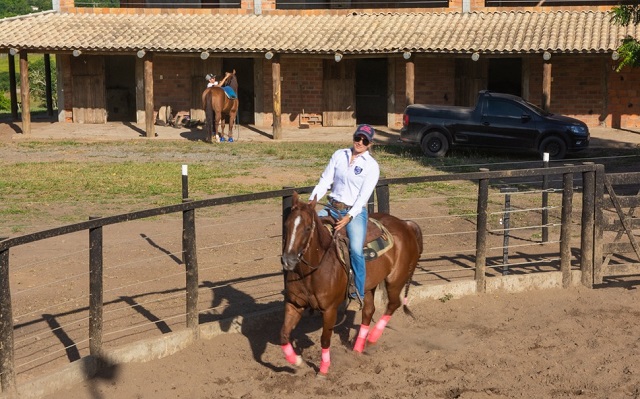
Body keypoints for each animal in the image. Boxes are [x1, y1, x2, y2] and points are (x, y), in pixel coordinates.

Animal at [282, 192, 424, 376]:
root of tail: (406, 224)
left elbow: (325, 339)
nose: (288, 260)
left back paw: (371, 339)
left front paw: (323, 370)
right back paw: (358, 347)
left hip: (395, 280)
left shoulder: (330, 310)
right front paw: (297, 361)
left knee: (393, 304)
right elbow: (284, 334)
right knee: (369, 311)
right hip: (369, 286)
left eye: (307, 228)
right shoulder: (294, 304)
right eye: (286, 225)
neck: (312, 271)